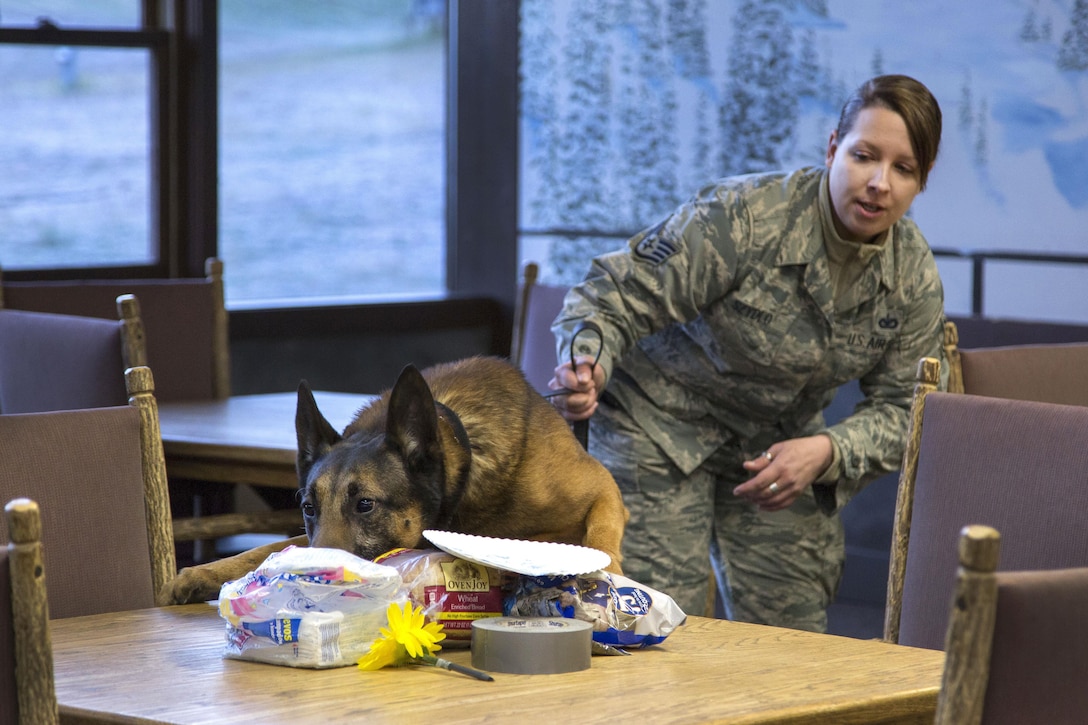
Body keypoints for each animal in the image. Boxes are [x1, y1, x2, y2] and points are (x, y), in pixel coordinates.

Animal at [166, 352, 635, 600]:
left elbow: (601, 539)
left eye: (366, 504)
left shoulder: (604, 490)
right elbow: (268, 548)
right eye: (308, 508)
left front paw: (607, 576)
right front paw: (204, 572)